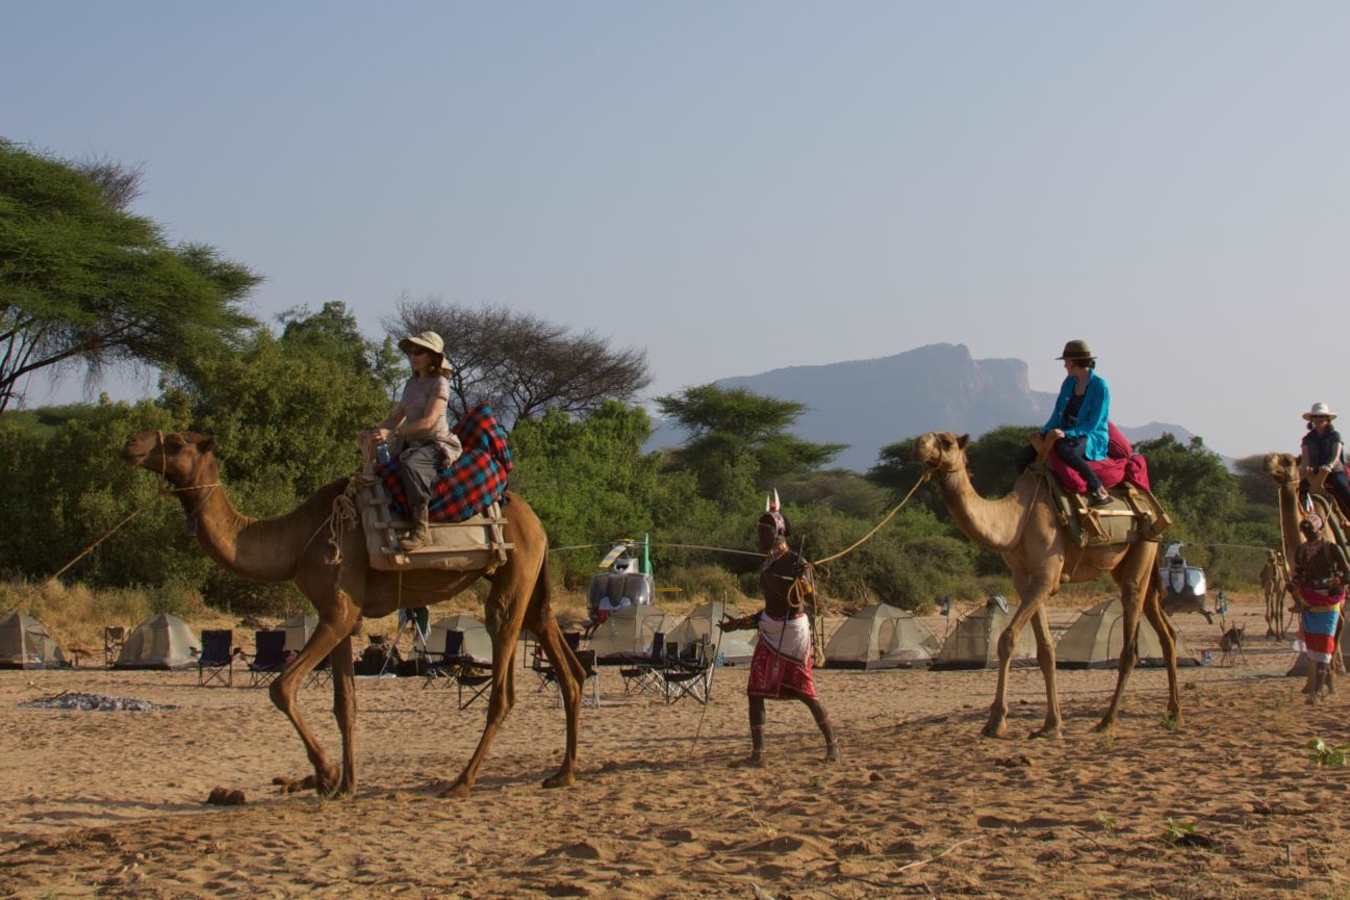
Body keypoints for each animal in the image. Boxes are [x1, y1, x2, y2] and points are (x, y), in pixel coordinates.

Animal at [122, 430, 584, 798]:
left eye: (177, 442)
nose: (131, 445)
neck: (296, 541)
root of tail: (536, 521)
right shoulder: (343, 615)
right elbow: (345, 703)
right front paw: (346, 784)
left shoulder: (338, 608)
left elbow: (281, 688)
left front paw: (326, 775)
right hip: (527, 579)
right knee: (565, 661)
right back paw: (562, 774)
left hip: (511, 579)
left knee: (503, 683)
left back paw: (461, 782)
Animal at [915, 432, 1181, 737]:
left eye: (946, 442)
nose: (918, 445)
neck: (1016, 521)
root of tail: (1149, 501)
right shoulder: (1024, 579)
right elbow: (1045, 650)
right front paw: (1051, 724)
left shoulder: (1046, 577)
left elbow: (1007, 638)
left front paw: (996, 722)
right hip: (1134, 561)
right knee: (1165, 628)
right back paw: (1173, 712)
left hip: (1142, 547)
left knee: (1131, 635)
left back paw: (1107, 721)